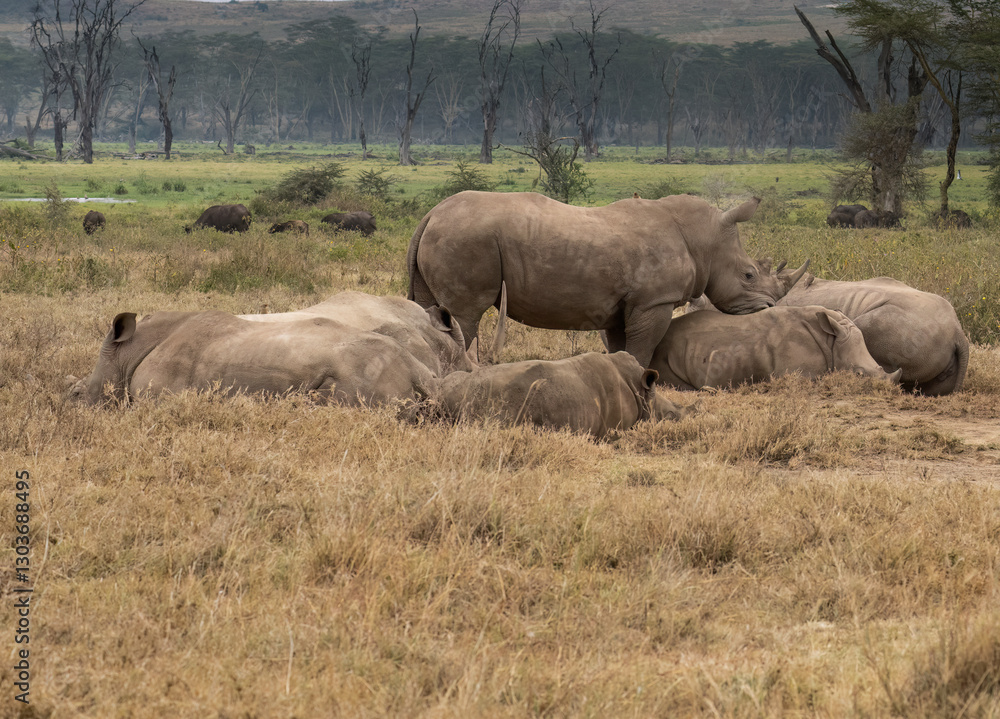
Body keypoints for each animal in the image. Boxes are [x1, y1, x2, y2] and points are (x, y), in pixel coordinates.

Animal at [408, 191, 807, 369]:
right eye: (749, 275)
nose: (770, 306)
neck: (704, 238)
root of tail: (430, 215)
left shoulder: (622, 305)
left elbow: (621, 347)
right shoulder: (653, 301)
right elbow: (642, 349)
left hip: (449, 235)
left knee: (434, 312)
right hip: (465, 239)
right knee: (465, 315)